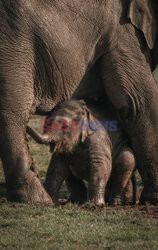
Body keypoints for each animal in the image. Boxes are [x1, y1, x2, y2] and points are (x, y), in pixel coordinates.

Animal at [0, 0, 157, 203]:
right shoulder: (122, 35)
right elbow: (139, 102)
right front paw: (152, 198)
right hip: (13, 41)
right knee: (14, 113)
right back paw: (40, 200)